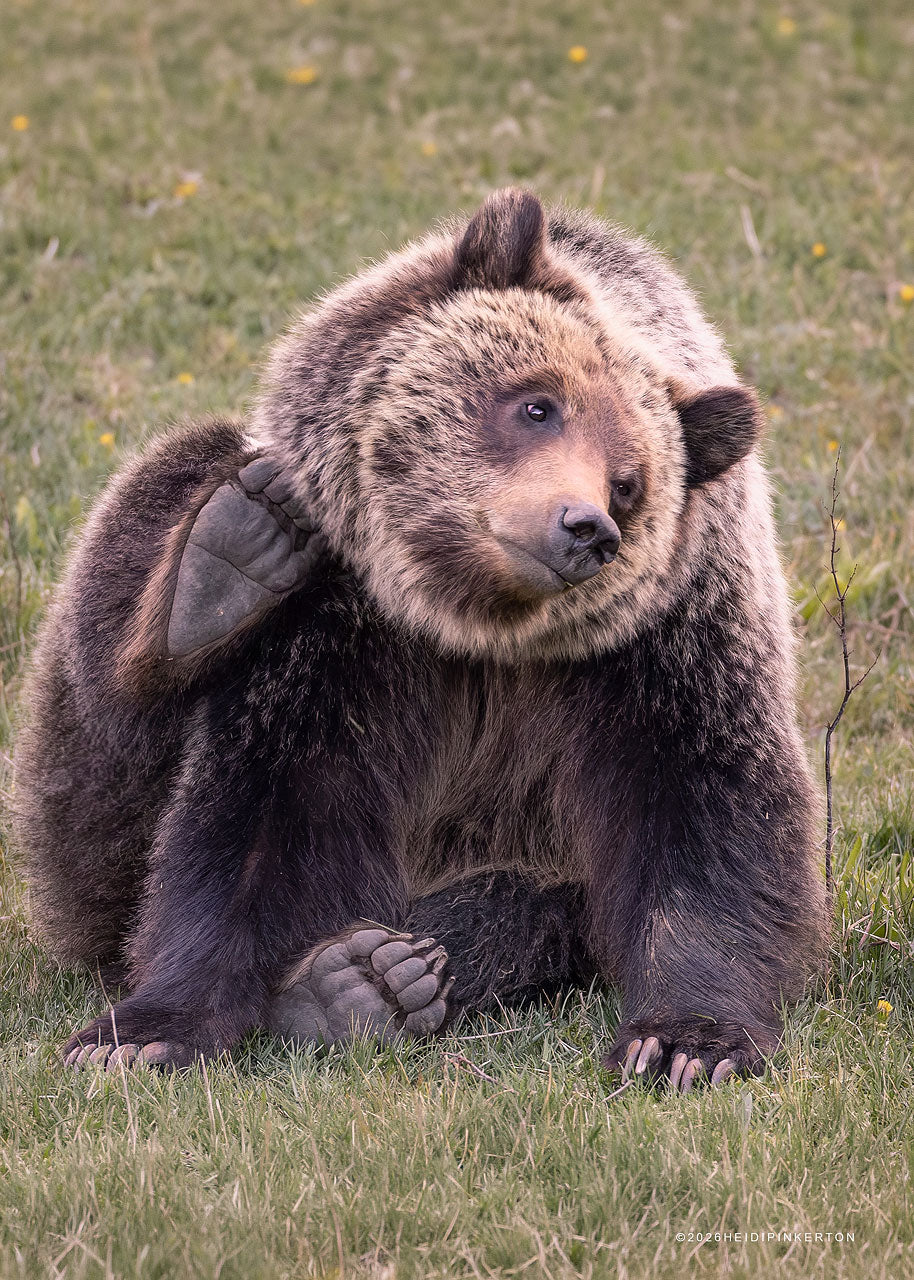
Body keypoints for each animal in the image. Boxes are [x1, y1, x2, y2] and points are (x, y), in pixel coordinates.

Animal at [12, 188, 829, 1088]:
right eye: (537, 403)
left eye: (629, 481)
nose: (585, 527)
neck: (466, 622)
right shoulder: (342, 620)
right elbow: (261, 810)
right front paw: (145, 1030)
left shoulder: (666, 641)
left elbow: (706, 809)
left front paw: (685, 1042)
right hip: (86, 802)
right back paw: (217, 569)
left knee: (523, 907)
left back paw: (373, 977)